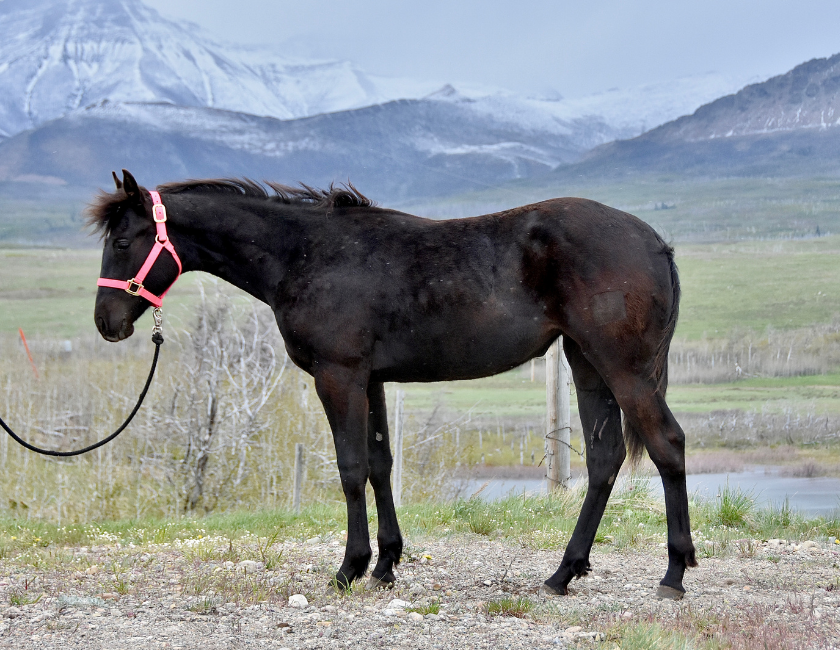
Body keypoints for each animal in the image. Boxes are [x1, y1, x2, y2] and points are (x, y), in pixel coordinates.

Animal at [90, 169, 696, 600]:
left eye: (122, 240)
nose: (106, 323)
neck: (302, 253)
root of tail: (656, 243)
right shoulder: (371, 381)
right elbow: (380, 466)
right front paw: (385, 563)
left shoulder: (339, 376)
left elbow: (351, 468)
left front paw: (349, 568)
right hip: (586, 364)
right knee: (603, 459)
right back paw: (563, 573)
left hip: (623, 369)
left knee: (667, 446)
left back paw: (673, 574)